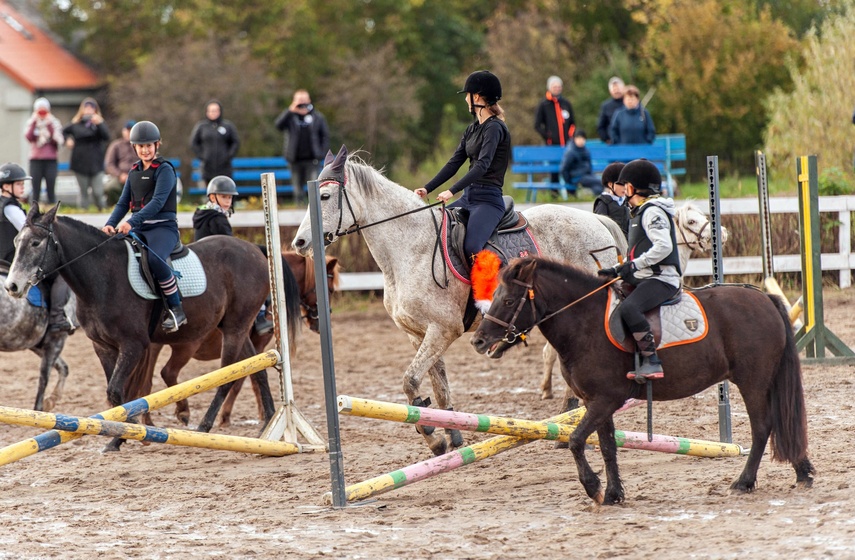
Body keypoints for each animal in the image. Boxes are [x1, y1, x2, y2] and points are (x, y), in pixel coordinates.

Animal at [290, 147, 624, 458]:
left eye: (325, 195)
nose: (300, 243)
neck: (410, 248)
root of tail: (595, 220)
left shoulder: (443, 330)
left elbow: (410, 381)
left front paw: (432, 434)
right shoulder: (418, 334)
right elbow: (437, 388)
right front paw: (450, 435)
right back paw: (567, 421)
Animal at [474, 256, 816, 506]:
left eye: (508, 301)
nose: (479, 341)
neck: (585, 322)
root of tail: (764, 298)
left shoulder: (605, 400)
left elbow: (575, 441)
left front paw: (593, 487)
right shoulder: (596, 401)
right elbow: (607, 446)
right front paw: (613, 494)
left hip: (753, 381)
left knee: (763, 426)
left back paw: (744, 482)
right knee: (782, 420)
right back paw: (802, 473)